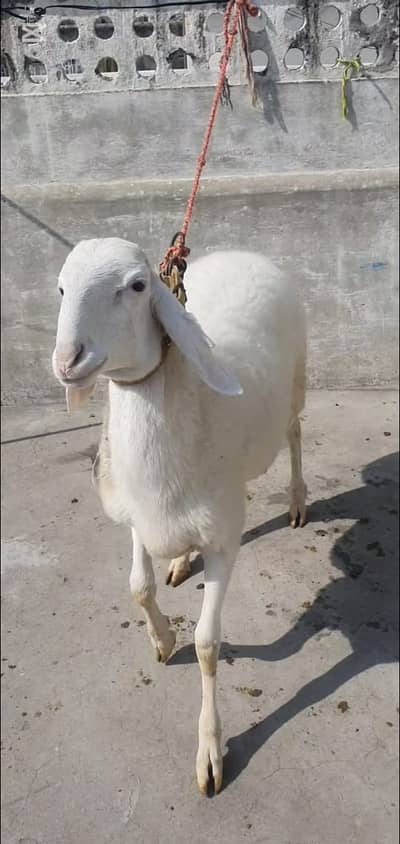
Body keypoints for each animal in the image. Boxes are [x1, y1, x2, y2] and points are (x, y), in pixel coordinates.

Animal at [52, 237, 307, 795]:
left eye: (136, 286)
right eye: (60, 288)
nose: (66, 360)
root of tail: (244, 252)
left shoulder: (224, 539)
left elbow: (208, 645)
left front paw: (210, 750)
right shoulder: (137, 514)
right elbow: (137, 587)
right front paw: (164, 638)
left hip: (299, 379)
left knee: (296, 432)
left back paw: (298, 500)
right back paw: (179, 561)